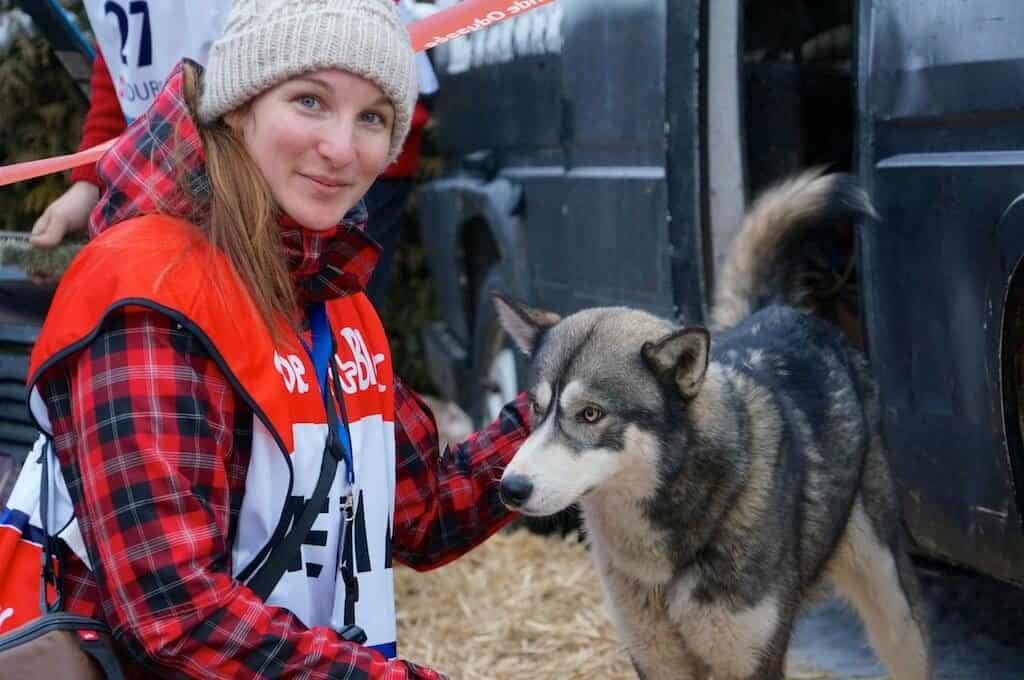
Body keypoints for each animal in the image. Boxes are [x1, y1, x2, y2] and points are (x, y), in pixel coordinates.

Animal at [491, 171, 933, 680]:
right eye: (535, 408)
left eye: (590, 414)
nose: (511, 488)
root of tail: (780, 311)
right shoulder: (654, 659)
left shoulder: (751, 659)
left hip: (891, 604)